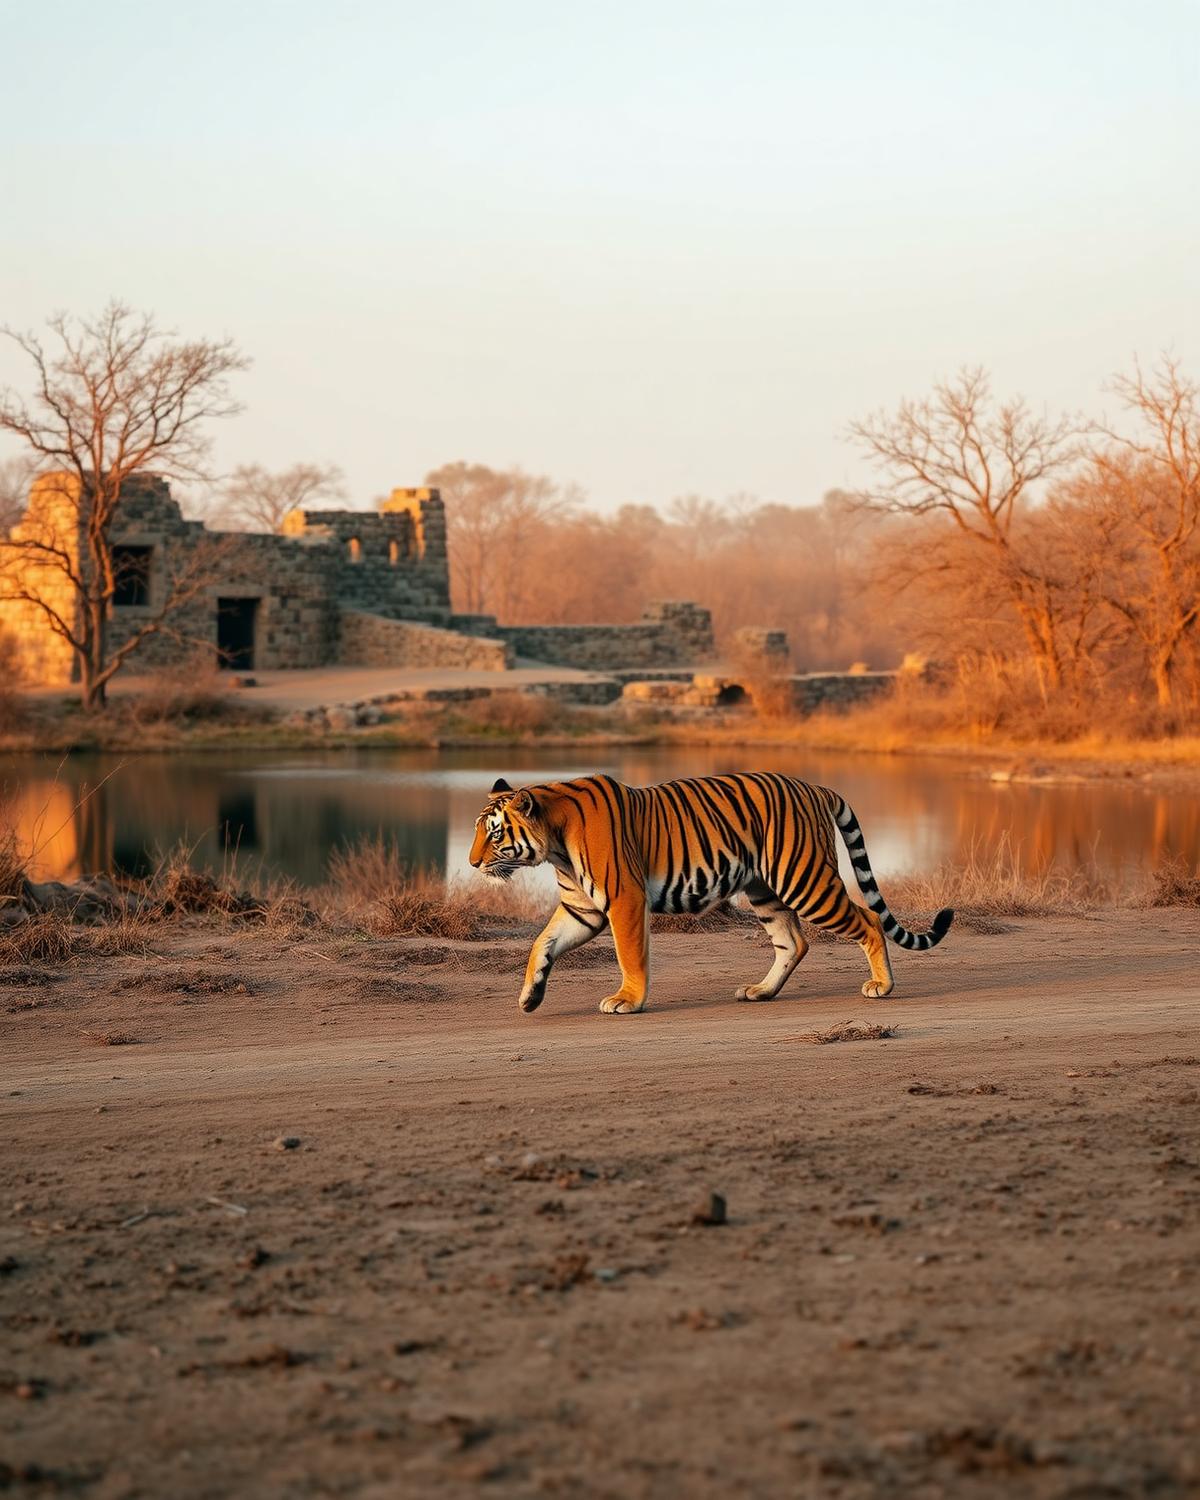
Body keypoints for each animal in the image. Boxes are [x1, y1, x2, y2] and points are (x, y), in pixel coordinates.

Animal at [468, 771, 953, 1015]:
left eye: (494, 834)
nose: (471, 863)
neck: (554, 844)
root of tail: (816, 787)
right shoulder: (581, 907)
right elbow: (541, 943)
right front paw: (530, 996)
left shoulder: (625, 898)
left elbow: (630, 954)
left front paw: (628, 1000)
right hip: (766, 889)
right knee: (793, 942)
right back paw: (762, 991)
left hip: (805, 880)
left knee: (867, 920)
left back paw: (882, 986)